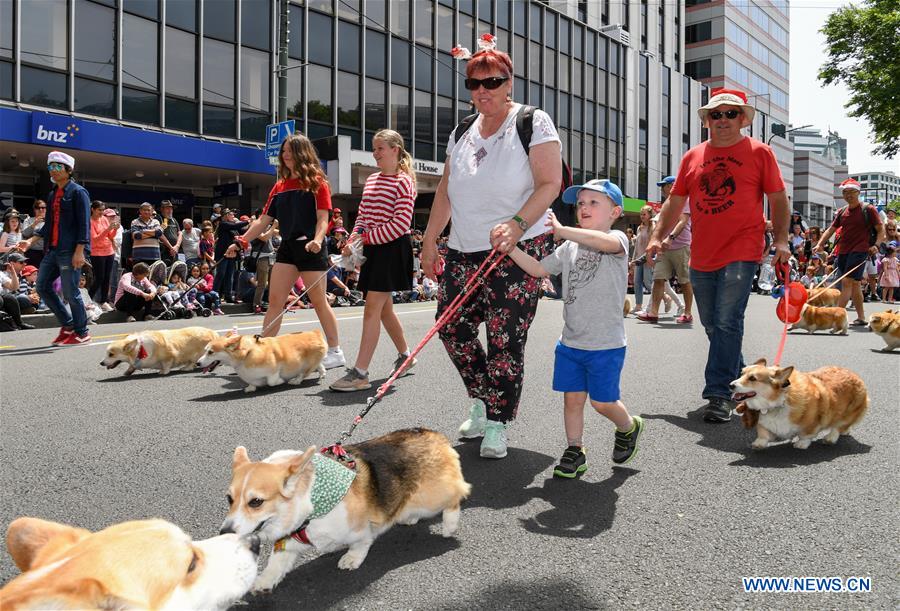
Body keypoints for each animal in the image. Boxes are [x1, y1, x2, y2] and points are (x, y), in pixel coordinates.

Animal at [195, 330, 328, 392]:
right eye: (205, 350)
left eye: (210, 352)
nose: (197, 363)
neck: (246, 354)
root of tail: (315, 333)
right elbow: (252, 382)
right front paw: (250, 388)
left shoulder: (274, 369)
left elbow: (272, 381)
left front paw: (280, 381)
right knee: (319, 365)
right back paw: (322, 374)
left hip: (307, 364)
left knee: (304, 373)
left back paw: (295, 381)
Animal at [221, 430, 472, 592]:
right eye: (229, 498)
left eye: (256, 502)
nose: (225, 532)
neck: (312, 499)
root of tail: (435, 435)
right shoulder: (290, 540)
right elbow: (276, 564)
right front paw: (263, 582)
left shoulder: (359, 528)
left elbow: (362, 542)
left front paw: (352, 559)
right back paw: (409, 517)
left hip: (432, 497)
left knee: (458, 494)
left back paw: (450, 524)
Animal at [732, 358, 872, 450]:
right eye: (741, 374)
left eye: (752, 378)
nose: (730, 385)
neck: (778, 402)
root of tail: (855, 375)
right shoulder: (763, 423)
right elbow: (763, 434)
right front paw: (759, 443)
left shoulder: (812, 423)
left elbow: (805, 435)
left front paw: (801, 444)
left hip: (850, 411)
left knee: (839, 425)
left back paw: (830, 437)